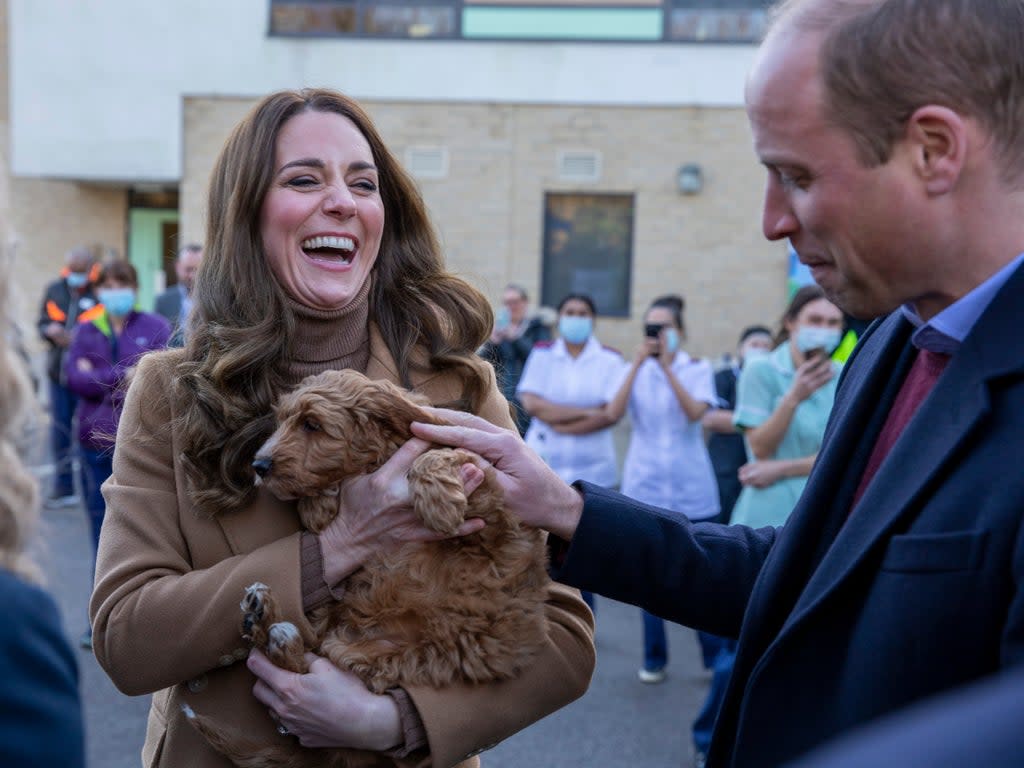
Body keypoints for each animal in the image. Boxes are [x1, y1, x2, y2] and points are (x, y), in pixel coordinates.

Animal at [187, 370, 548, 765]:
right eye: (281, 421)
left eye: (312, 424)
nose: (259, 466)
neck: (373, 461)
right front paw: (320, 504)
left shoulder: (490, 511)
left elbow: (439, 455)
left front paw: (439, 504)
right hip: (344, 634)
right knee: (307, 652)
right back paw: (264, 617)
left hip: (377, 659)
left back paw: (271, 627)